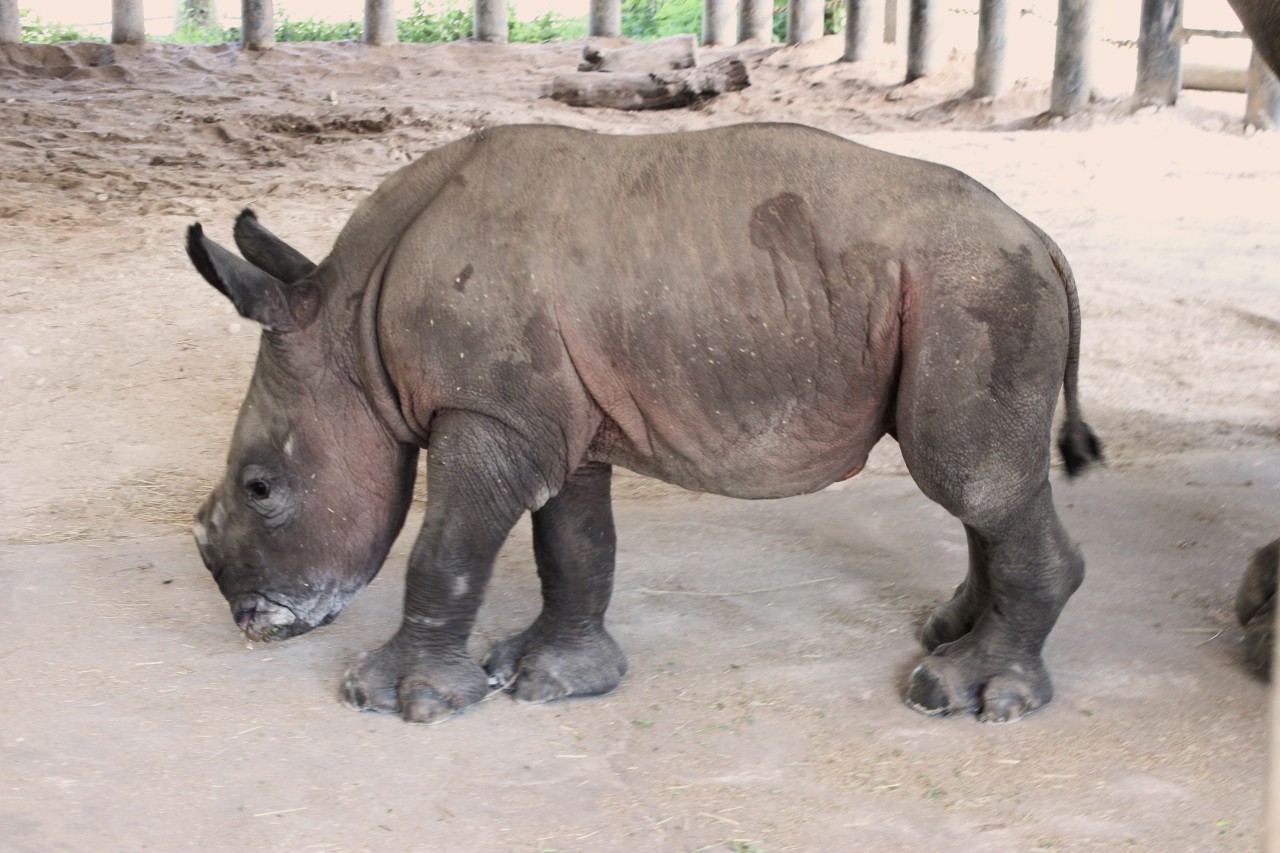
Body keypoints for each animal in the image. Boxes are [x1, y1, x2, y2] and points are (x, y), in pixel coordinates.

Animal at [187, 123, 1101, 725]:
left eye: (261, 487)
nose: (250, 618)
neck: (349, 323)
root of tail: (1043, 238)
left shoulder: (488, 409)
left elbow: (444, 549)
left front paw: (396, 699)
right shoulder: (551, 416)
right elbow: (574, 545)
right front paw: (549, 678)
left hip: (976, 286)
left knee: (967, 474)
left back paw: (968, 694)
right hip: (967, 284)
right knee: (981, 484)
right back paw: (946, 637)